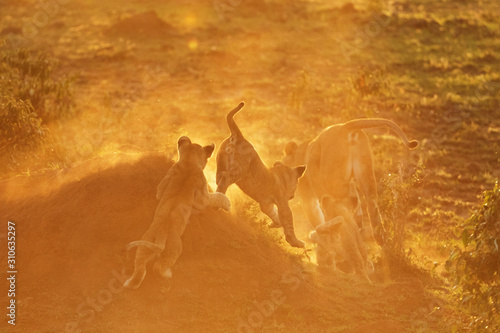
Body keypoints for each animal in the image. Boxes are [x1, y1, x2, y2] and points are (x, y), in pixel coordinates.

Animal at [123, 135, 230, 288]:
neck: (189, 162)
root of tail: (161, 236)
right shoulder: (202, 197)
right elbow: (214, 197)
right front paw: (227, 203)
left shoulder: (165, 180)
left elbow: (159, 192)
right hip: (175, 247)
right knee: (158, 266)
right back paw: (167, 274)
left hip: (144, 244)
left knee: (140, 267)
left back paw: (129, 283)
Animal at [216, 102, 306, 248]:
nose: (292, 196)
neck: (281, 175)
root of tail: (240, 136)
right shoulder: (283, 204)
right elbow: (288, 223)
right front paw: (296, 242)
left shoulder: (266, 204)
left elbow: (274, 214)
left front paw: (273, 224)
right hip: (239, 171)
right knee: (225, 180)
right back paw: (220, 202)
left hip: (221, 163)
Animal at [282, 118, 418, 243]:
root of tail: (345, 125)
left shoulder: (308, 198)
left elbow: (316, 218)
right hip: (365, 173)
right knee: (370, 201)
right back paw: (378, 235)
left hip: (331, 178)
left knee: (351, 194)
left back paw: (359, 219)